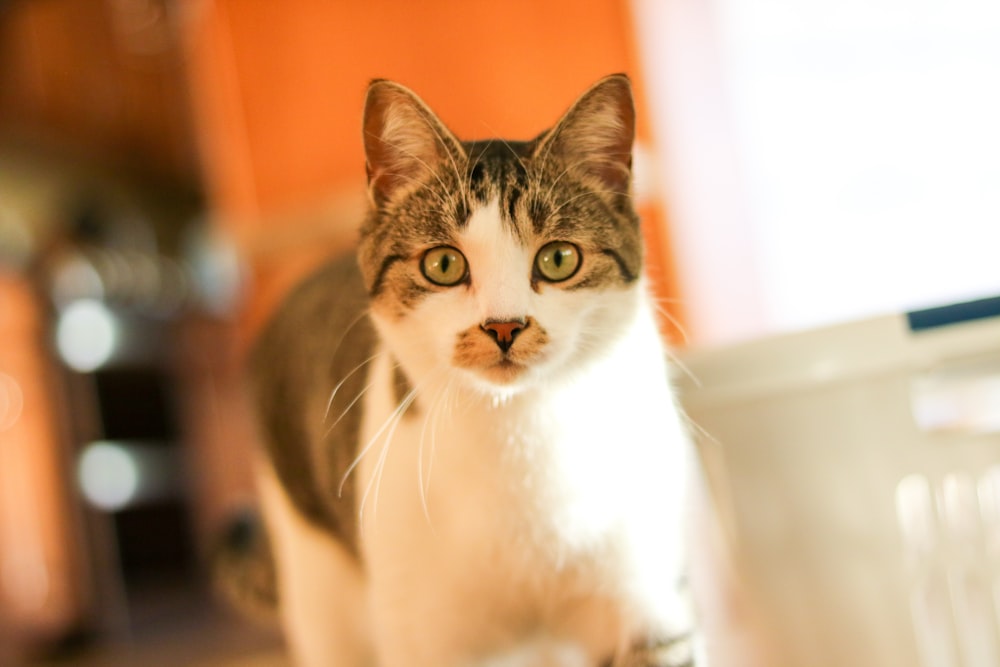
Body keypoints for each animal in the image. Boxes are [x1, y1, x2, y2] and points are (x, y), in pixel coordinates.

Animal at [236, 74, 704, 667]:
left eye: (558, 259)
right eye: (443, 264)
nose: (504, 326)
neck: (520, 441)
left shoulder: (648, 602)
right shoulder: (421, 629)